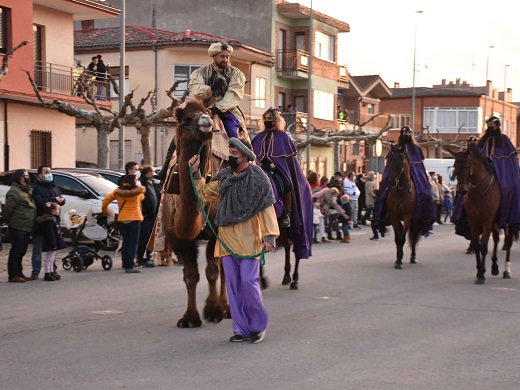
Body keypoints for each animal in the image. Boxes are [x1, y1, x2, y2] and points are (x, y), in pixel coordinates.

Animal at [448, 148, 516, 284]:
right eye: (454, 166)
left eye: (466, 166)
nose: (461, 190)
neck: (478, 191)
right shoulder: (473, 221)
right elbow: (476, 245)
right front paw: (480, 270)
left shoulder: (486, 221)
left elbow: (484, 245)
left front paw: (481, 275)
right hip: (495, 221)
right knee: (496, 239)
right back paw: (494, 267)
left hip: (508, 220)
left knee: (508, 241)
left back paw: (506, 270)